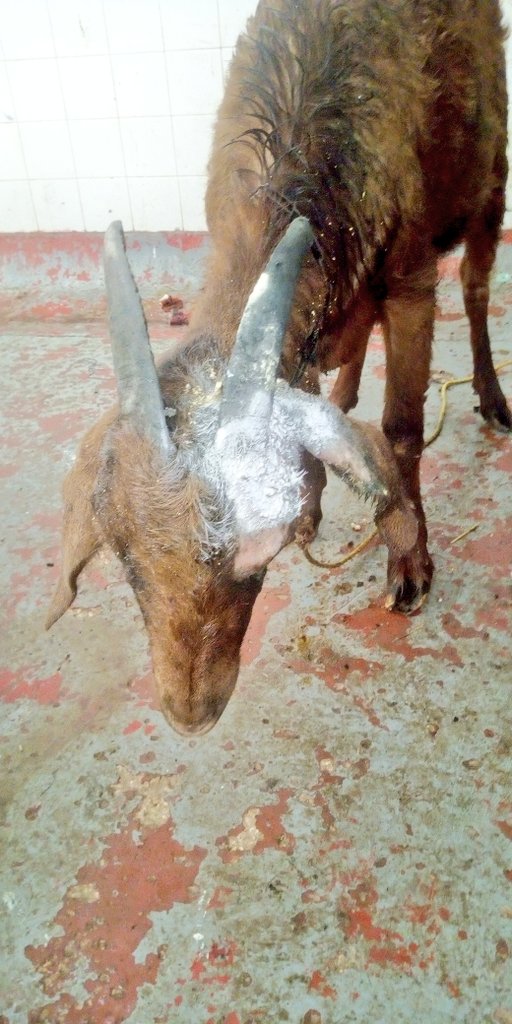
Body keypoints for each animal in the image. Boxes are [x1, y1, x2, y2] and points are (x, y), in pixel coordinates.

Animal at [47, 0, 510, 735]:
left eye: (259, 552)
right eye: (123, 558)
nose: (191, 714)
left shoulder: (411, 277)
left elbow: (403, 429)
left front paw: (410, 563)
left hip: (490, 176)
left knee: (474, 287)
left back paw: (492, 398)